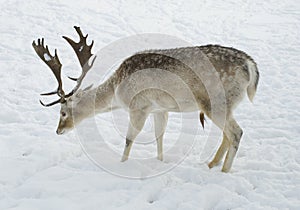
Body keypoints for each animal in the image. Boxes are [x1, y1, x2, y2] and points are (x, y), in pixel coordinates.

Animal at [32, 26, 258, 172]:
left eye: (62, 112)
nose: (58, 130)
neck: (117, 91)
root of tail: (250, 66)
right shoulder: (159, 109)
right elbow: (160, 136)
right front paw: (159, 161)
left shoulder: (138, 107)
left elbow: (129, 138)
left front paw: (122, 165)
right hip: (226, 103)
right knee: (227, 134)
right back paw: (211, 164)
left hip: (215, 100)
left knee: (236, 132)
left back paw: (223, 171)